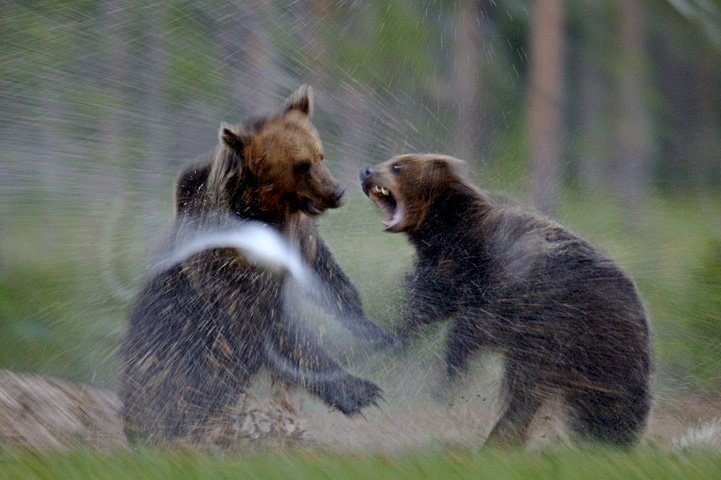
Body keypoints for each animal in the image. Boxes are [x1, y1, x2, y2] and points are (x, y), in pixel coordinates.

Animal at [119, 85, 388, 442]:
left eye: (321, 155)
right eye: (301, 165)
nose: (337, 192)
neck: (268, 212)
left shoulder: (300, 240)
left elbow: (328, 276)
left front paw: (369, 326)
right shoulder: (232, 270)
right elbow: (280, 329)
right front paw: (361, 390)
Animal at [360, 154, 652, 446]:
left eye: (397, 165)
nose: (366, 171)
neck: (447, 228)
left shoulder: (504, 284)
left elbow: (471, 329)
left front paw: (446, 379)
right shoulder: (445, 272)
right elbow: (421, 310)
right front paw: (384, 346)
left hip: (587, 336)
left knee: (541, 388)